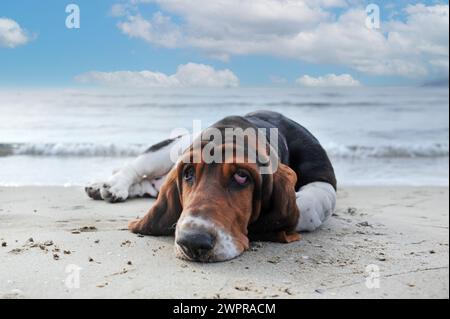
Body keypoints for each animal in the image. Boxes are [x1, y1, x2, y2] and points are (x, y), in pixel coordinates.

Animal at [86, 111, 336, 264]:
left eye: (242, 176)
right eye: (188, 173)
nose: (192, 241)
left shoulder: (325, 180)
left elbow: (306, 208)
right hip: (172, 147)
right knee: (134, 168)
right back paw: (111, 186)